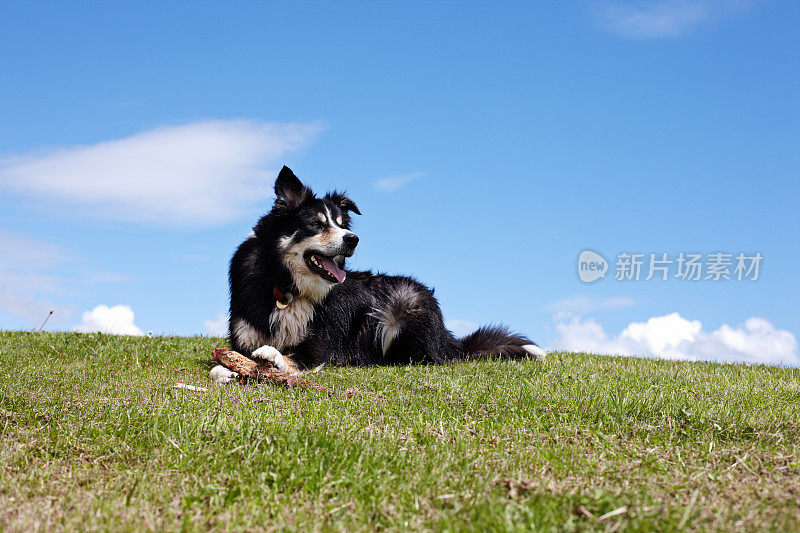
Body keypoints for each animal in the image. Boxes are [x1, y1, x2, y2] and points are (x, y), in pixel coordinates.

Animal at [208, 166, 544, 382]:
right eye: (317, 224)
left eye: (342, 224)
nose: (353, 239)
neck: (286, 285)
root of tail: (449, 340)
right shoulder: (242, 337)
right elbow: (219, 366)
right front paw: (231, 371)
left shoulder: (320, 348)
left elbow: (290, 356)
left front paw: (272, 356)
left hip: (404, 304)